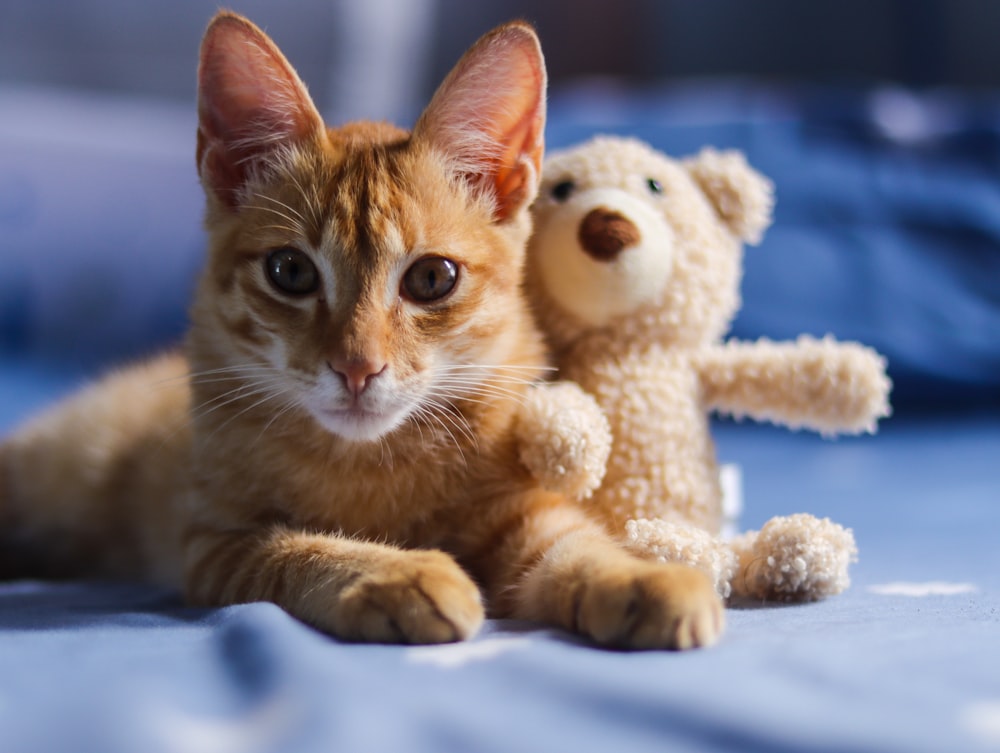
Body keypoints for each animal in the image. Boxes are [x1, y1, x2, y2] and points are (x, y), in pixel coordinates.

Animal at [0, 10, 724, 648]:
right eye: (290, 270)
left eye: (432, 278)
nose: (357, 368)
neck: (373, 461)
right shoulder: (213, 544)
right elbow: (294, 550)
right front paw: (397, 572)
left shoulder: (524, 511)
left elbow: (574, 541)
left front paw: (640, 575)